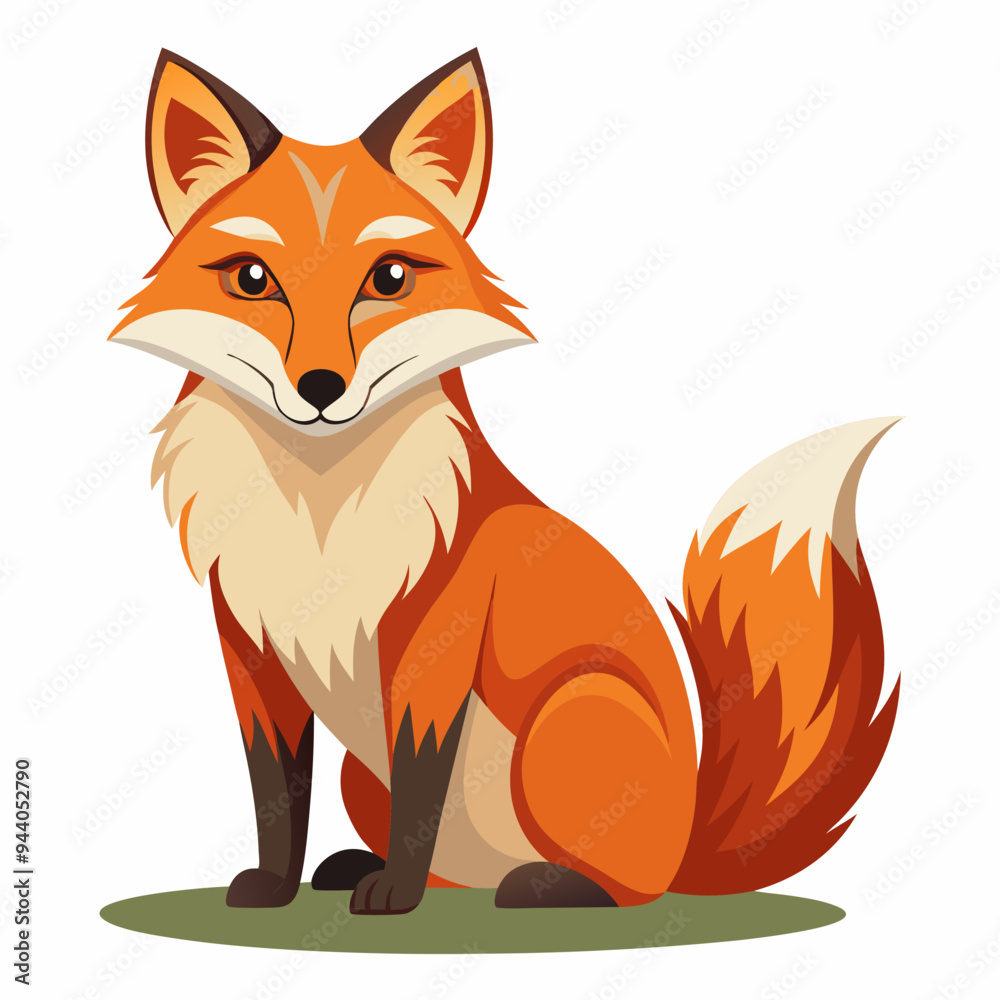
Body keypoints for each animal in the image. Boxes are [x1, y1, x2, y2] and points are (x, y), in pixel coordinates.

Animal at [111, 48, 900, 915]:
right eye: (253, 279)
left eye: (389, 278)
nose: (320, 387)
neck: (319, 516)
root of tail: (690, 840)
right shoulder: (250, 650)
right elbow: (275, 789)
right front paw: (276, 887)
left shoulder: (434, 646)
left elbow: (420, 778)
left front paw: (397, 896)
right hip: (365, 773)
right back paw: (364, 866)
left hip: (568, 721)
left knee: (627, 888)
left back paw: (543, 886)